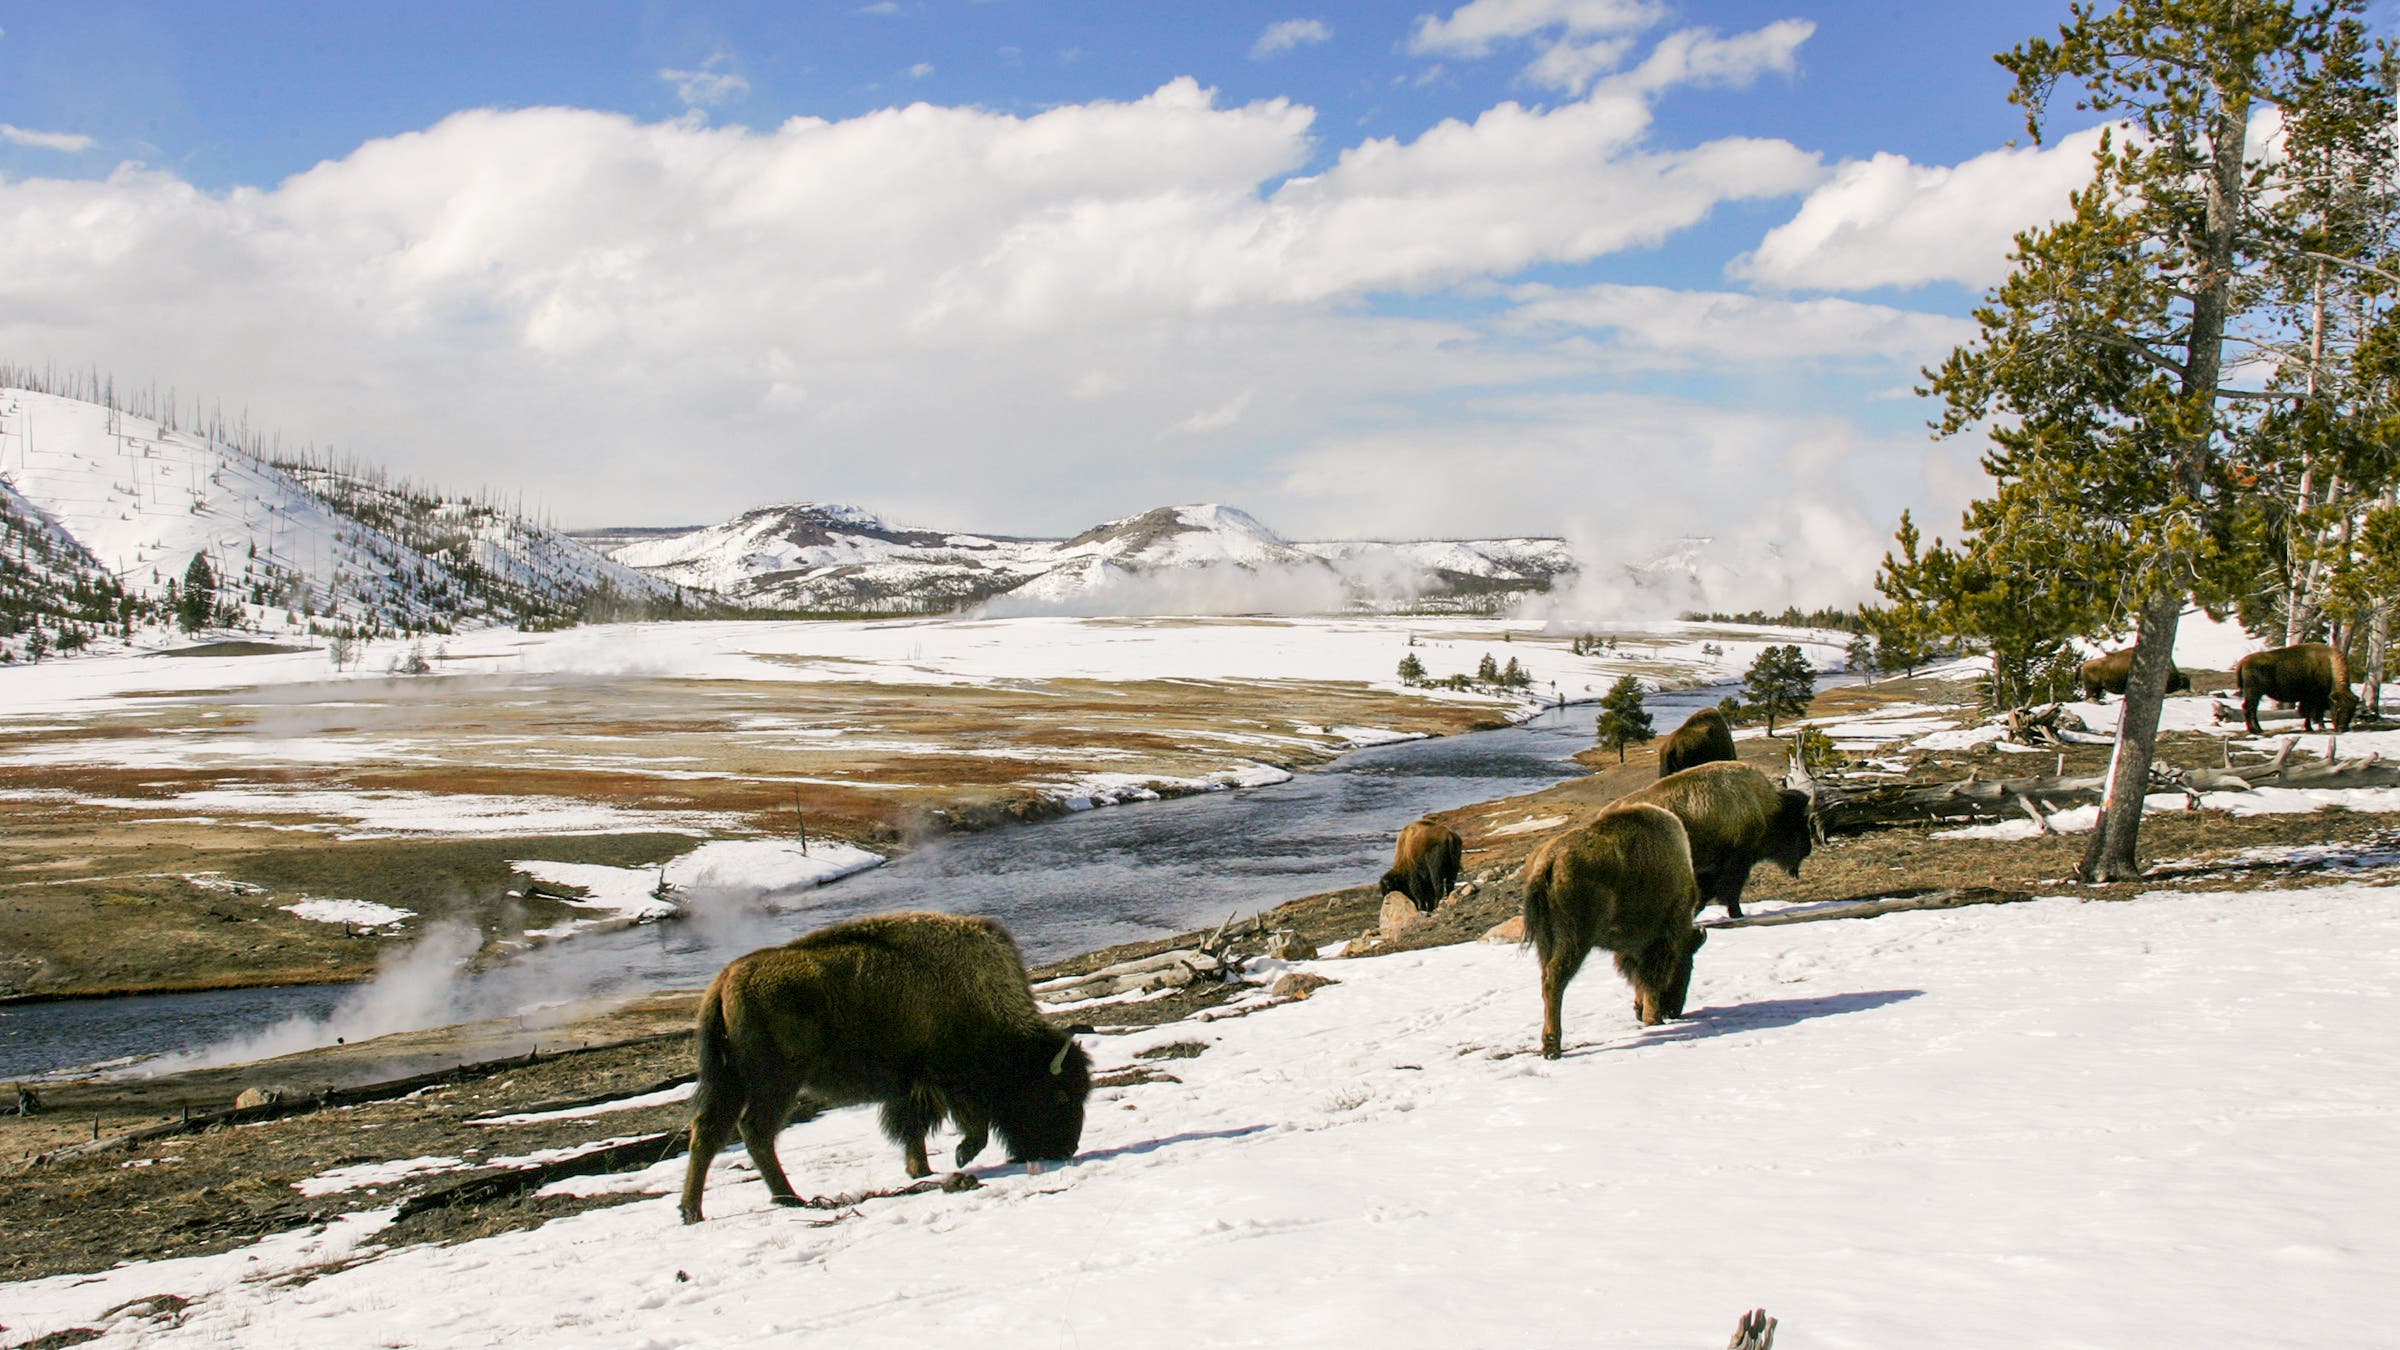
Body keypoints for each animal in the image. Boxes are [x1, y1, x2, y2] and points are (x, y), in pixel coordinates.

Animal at [679, 911, 1091, 1224]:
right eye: (1060, 1096)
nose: (1066, 1149)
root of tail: (727, 978)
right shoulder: (943, 1080)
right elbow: (968, 1125)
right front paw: (958, 1156)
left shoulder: (912, 1087)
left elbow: (914, 1128)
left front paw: (921, 1170)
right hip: (776, 1082)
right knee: (754, 1131)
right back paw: (789, 1198)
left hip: (732, 1081)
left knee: (708, 1132)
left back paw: (692, 1212)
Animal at [1521, 803, 1707, 1059]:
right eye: (1688, 965)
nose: (1674, 1011)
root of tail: (1550, 860)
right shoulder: (1662, 938)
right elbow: (1651, 977)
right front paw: (1653, 1018)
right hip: (1575, 939)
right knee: (1555, 979)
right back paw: (1553, 1047)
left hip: (1545, 940)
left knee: (1545, 978)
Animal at [1612, 760, 1812, 920]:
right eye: (1796, 824)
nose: (1808, 849)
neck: (1765, 809)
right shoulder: (1736, 861)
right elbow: (1729, 891)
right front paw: (1737, 914)